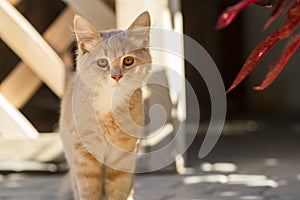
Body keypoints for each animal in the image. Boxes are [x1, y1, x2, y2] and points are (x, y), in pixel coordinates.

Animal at [59, 11, 151, 199]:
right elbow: (89, 193)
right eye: (102, 62)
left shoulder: (123, 159)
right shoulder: (84, 158)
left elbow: (118, 192)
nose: (116, 76)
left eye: (128, 60)